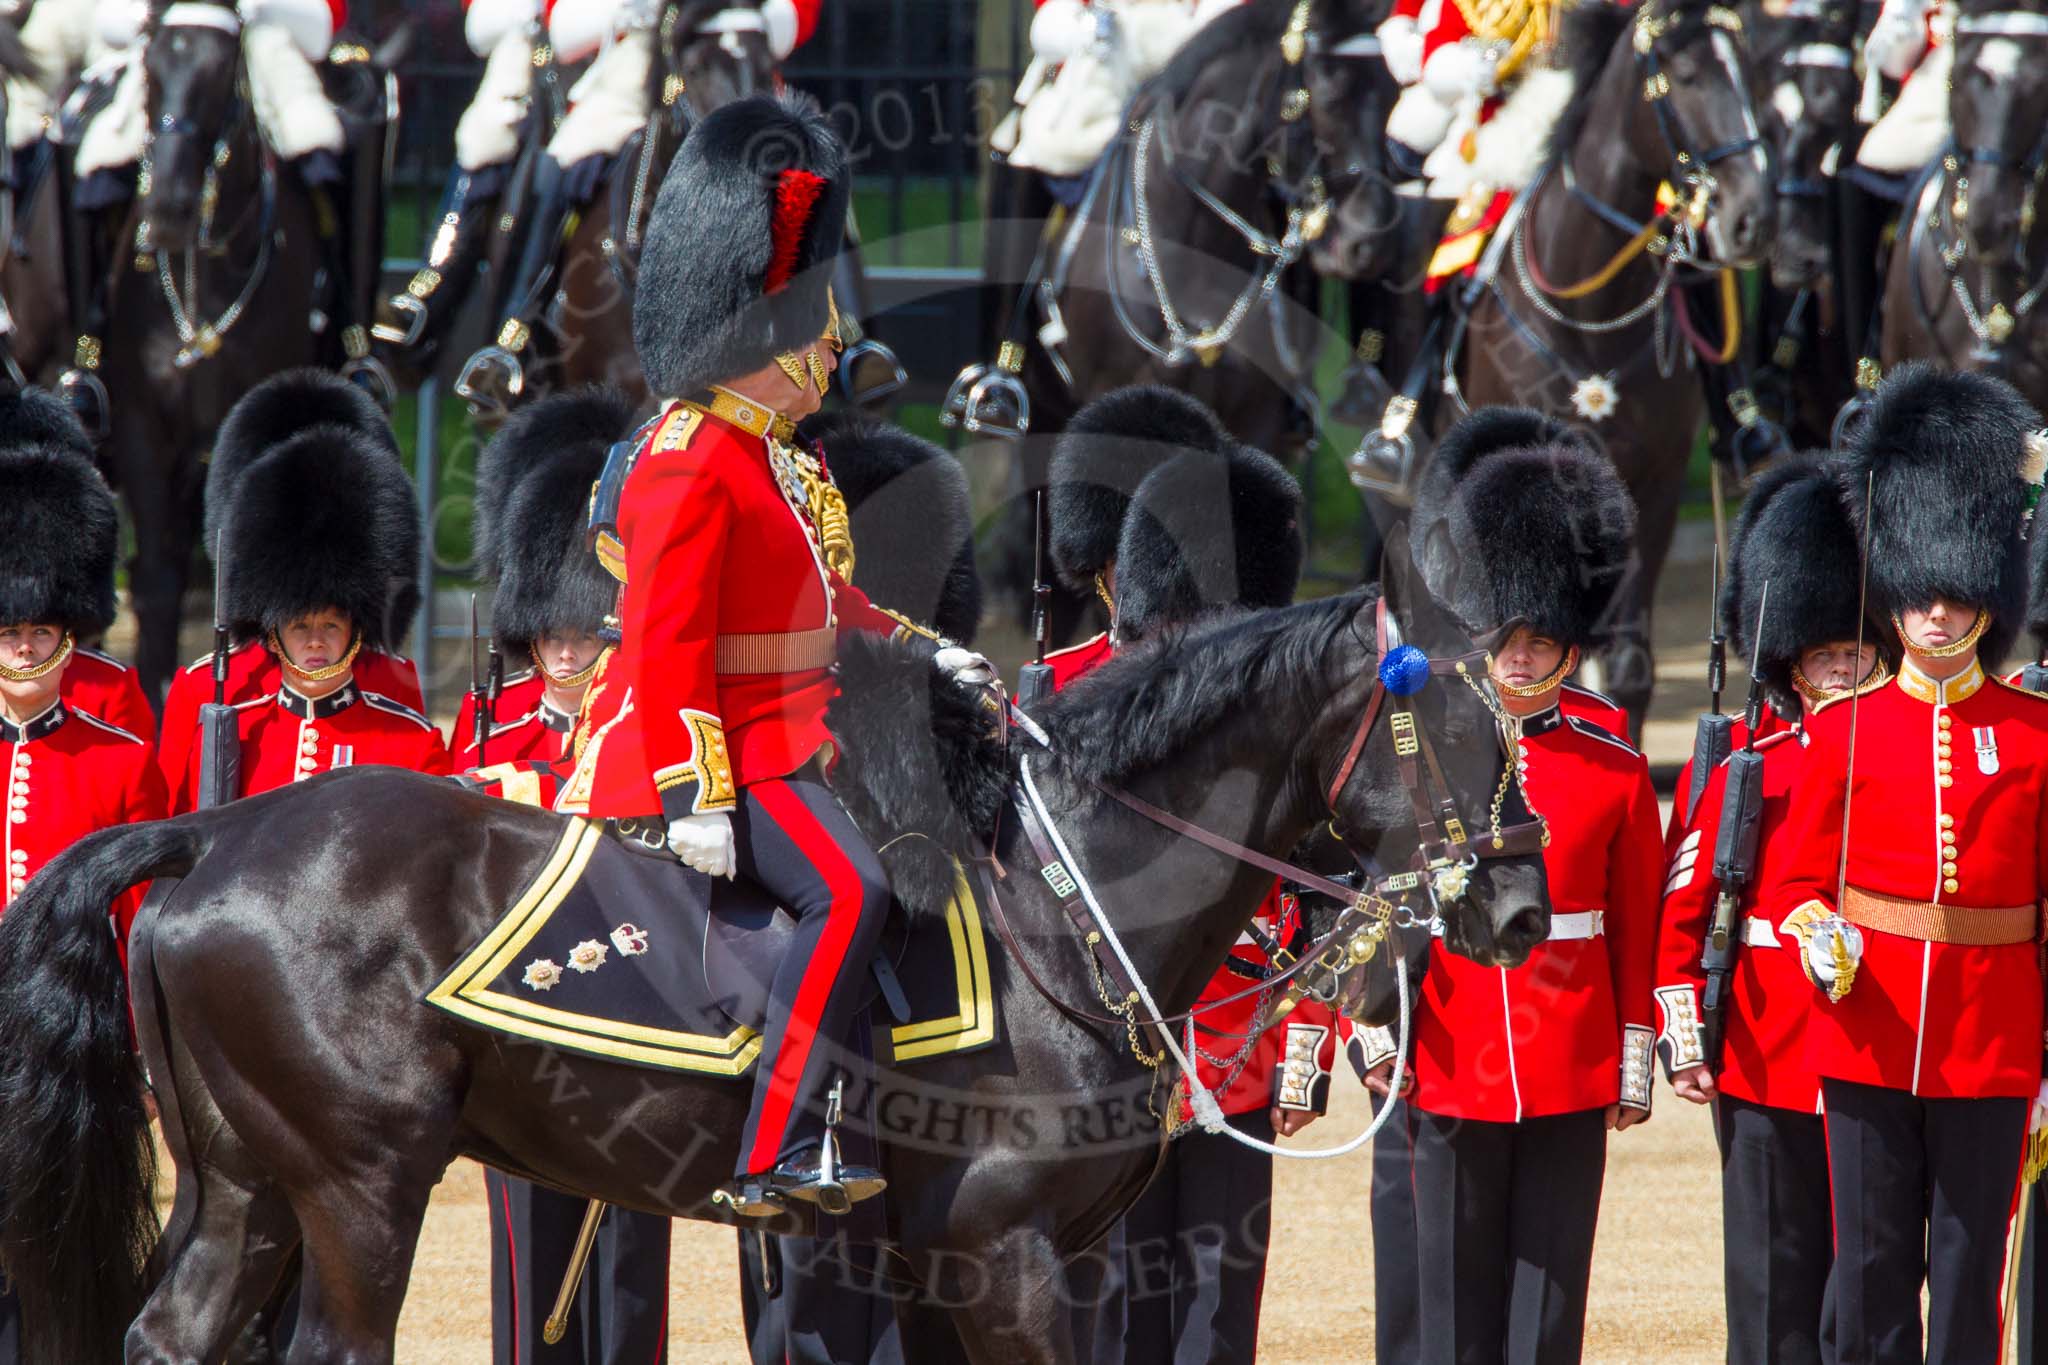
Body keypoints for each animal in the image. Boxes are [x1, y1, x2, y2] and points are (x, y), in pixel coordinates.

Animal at [0, 536, 1540, 1365]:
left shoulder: (964, 1263)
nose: (1521, 903)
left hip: (246, 1182)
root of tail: (214, 835)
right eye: (1456, 724)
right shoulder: (1008, 1257)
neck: (1062, 902)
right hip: (360, 1186)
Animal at [1449, 0, 1769, 724]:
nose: (1751, 219)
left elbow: (1623, 664)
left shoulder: (1650, 487)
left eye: (1748, 68)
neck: (1588, 306)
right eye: (1684, 74)